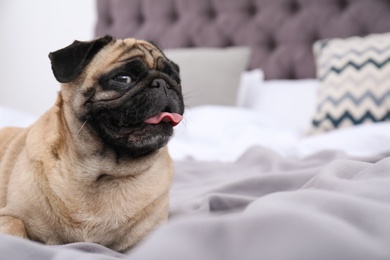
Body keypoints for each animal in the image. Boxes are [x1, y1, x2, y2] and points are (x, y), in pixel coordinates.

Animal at [0, 36, 184, 252]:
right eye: (123, 79)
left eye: (177, 80)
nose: (163, 84)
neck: (102, 172)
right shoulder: (9, 216)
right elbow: (16, 226)